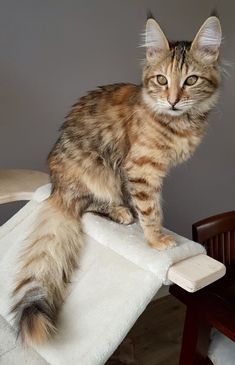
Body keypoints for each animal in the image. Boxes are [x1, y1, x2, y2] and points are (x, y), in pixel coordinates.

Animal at [10, 14, 221, 344]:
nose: (173, 101)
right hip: (95, 170)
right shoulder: (141, 169)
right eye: (162, 80)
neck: (180, 122)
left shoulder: (144, 173)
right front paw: (156, 240)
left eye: (191, 81)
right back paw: (121, 213)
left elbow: (146, 205)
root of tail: (57, 189)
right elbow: (151, 210)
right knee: (90, 206)